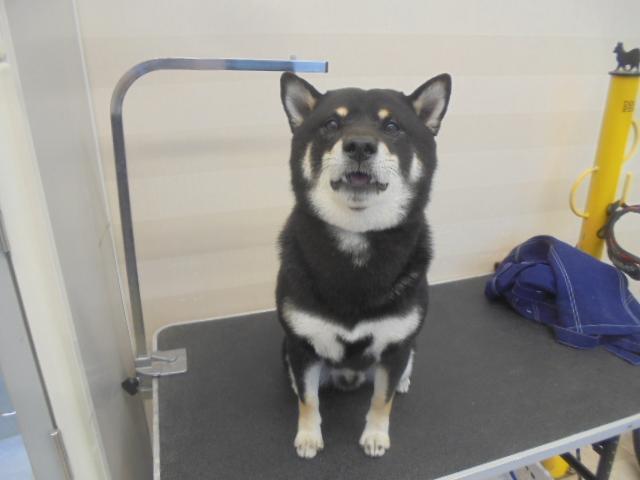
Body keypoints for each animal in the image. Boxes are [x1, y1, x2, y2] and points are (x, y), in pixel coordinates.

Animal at [276, 72, 451, 458]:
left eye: (392, 126)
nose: (359, 145)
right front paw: (308, 436)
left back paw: (403, 381)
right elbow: (309, 400)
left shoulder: (396, 346)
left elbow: (381, 401)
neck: (358, 241)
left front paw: (375, 435)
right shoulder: (302, 345)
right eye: (331, 124)